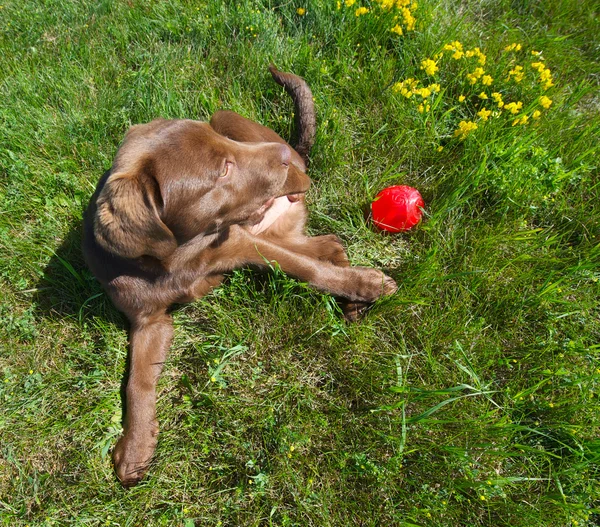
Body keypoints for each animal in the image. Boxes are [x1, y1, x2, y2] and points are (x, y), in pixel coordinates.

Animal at [82, 66, 396, 486]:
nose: (281, 155)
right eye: (223, 168)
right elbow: (138, 380)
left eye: (225, 143)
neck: (179, 258)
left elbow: (308, 270)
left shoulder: (241, 244)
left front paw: (367, 285)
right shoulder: (149, 319)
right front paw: (134, 447)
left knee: (319, 246)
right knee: (326, 243)